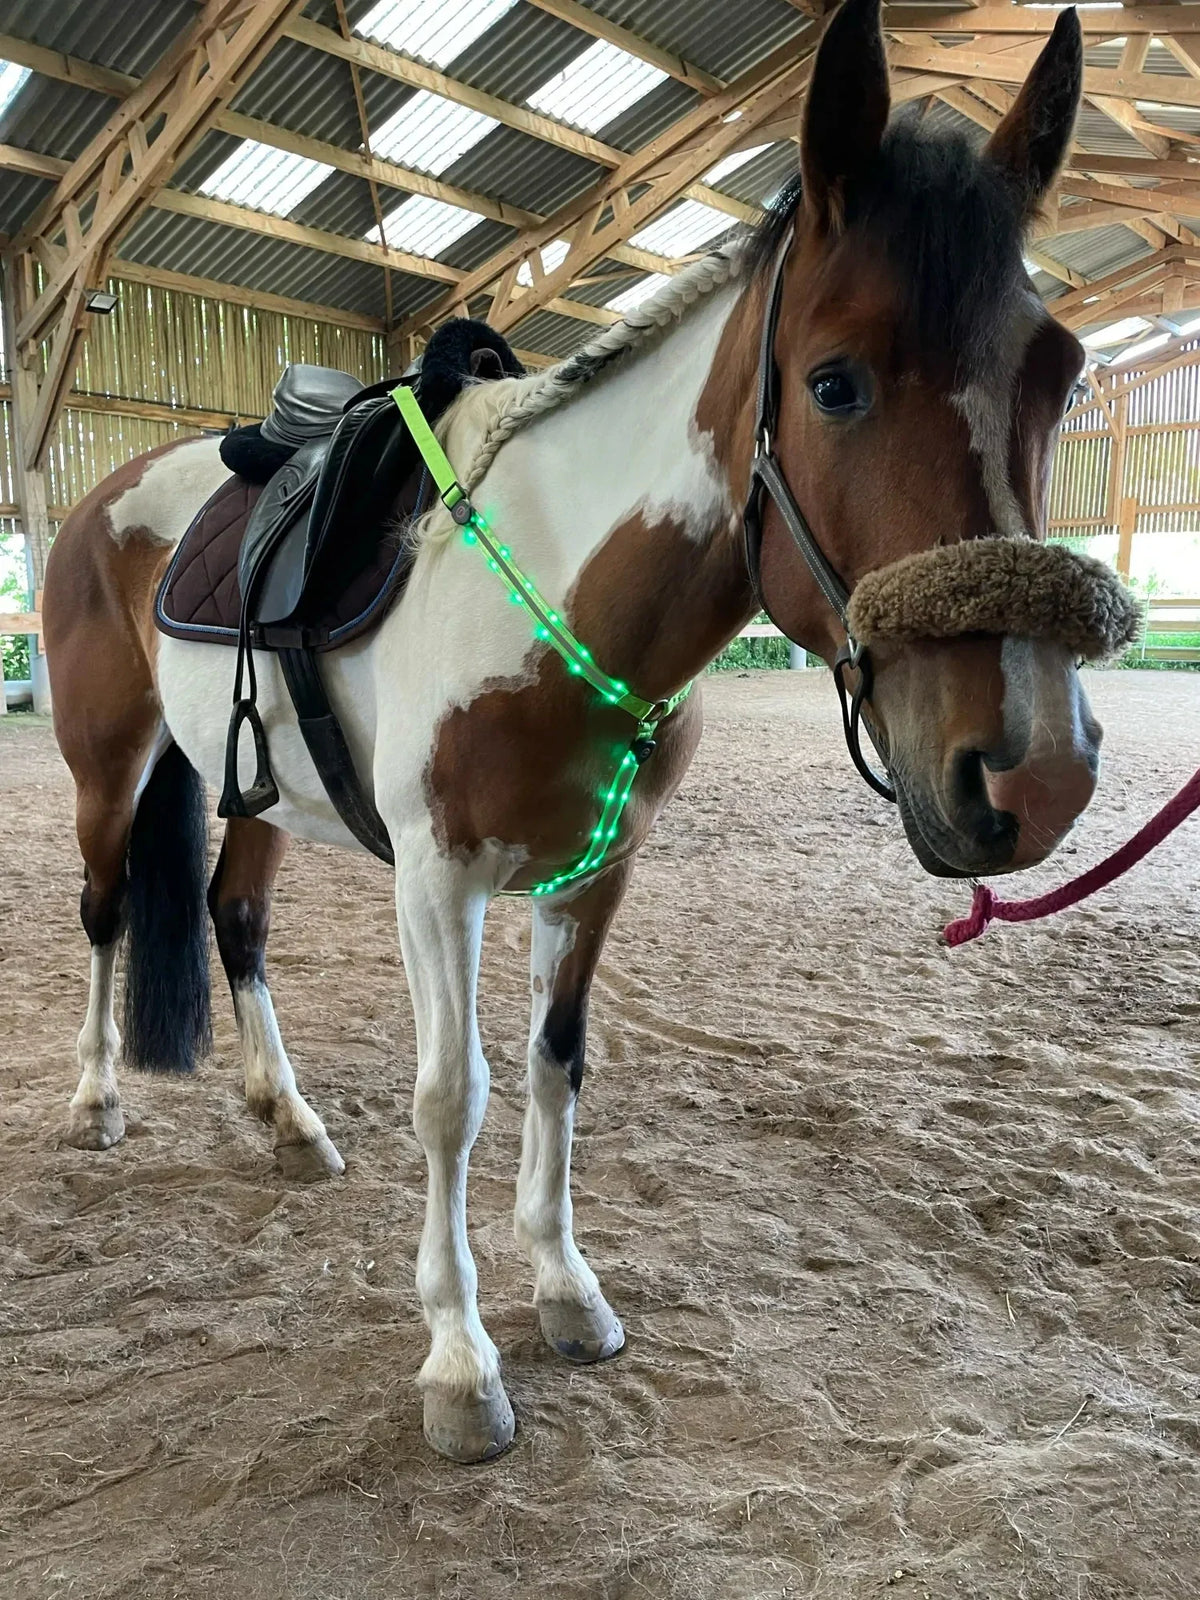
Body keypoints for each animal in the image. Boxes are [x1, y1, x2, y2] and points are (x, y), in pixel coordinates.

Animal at [42, 0, 1092, 1462]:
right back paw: (94, 1102)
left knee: (232, 922)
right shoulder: (438, 881)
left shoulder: (596, 873)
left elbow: (555, 1068)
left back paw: (287, 1119)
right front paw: (459, 1361)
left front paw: (564, 1291)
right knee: (102, 914)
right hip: (110, 762)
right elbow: (455, 1095)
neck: (549, 581)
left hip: (255, 793)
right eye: (833, 384)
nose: (1032, 771)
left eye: (1064, 374)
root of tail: (108, 493)